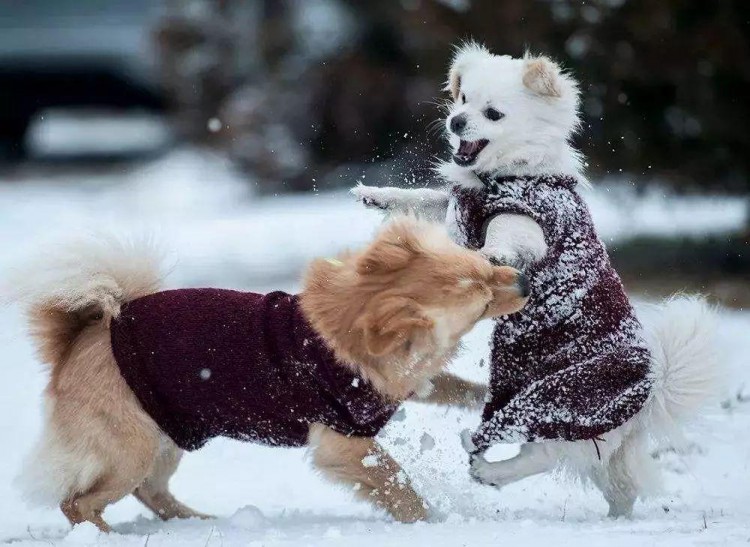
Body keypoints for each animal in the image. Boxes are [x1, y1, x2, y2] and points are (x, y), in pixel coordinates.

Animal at [17, 217, 532, 532]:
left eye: (490, 265)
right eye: (484, 301)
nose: (525, 280)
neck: (343, 325)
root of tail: (79, 340)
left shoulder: (409, 386)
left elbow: (454, 388)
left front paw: (497, 397)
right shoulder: (345, 445)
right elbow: (397, 483)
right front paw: (429, 523)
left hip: (168, 437)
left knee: (150, 492)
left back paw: (197, 523)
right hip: (131, 450)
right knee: (77, 503)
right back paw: (107, 535)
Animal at [356, 44, 720, 520]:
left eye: (492, 113)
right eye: (462, 100)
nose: (456, 122)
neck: (506, 174)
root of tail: (649, 394)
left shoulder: (523, 223)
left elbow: (498, 241)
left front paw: (487, 258)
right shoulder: (457, 208)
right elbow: (429, 200)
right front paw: (377, 196)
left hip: (555, 398)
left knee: (539, 450)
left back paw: (486, 464)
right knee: (599, 473)